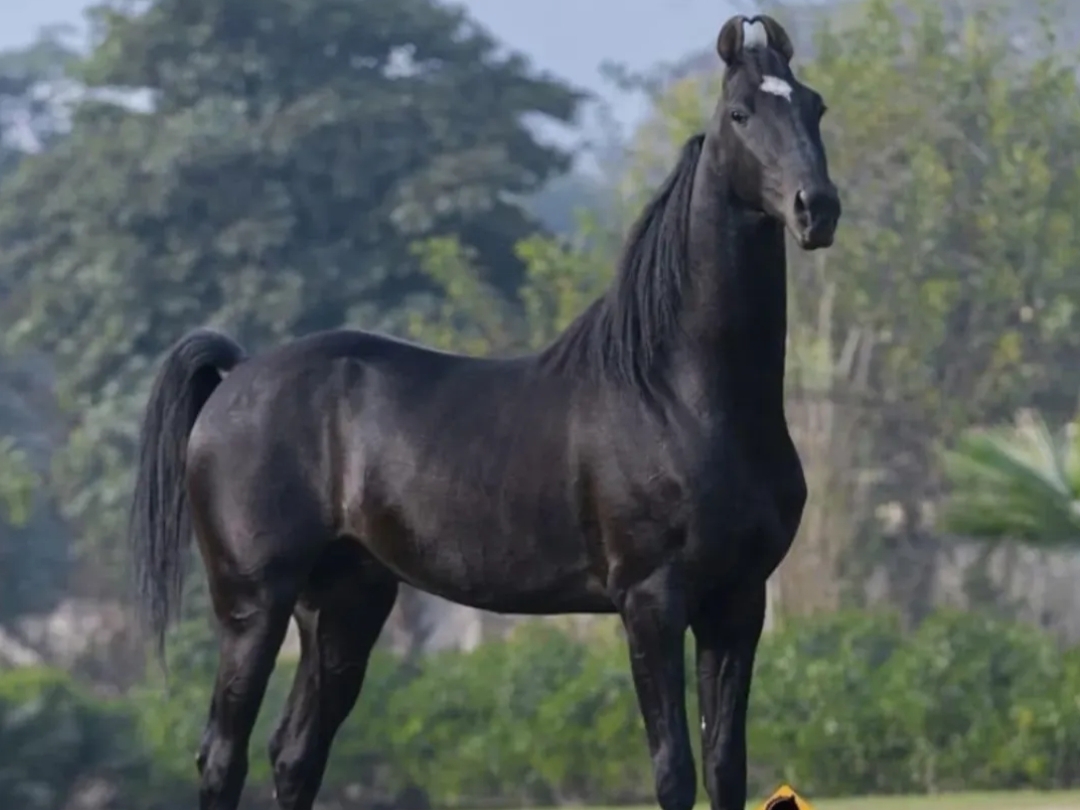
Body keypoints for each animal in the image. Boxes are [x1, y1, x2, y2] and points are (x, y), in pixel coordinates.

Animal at [128, 14, 840, 810]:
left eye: (814, 106)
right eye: (741, 114)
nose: (817, 208)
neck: (681, 396)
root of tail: (236, 376)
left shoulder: (738, 603)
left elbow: (725, 768)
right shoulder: (651, 601)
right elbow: (674, 769)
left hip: (344, 603)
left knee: (296, 753)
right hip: (253, 606)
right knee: (224, 756)